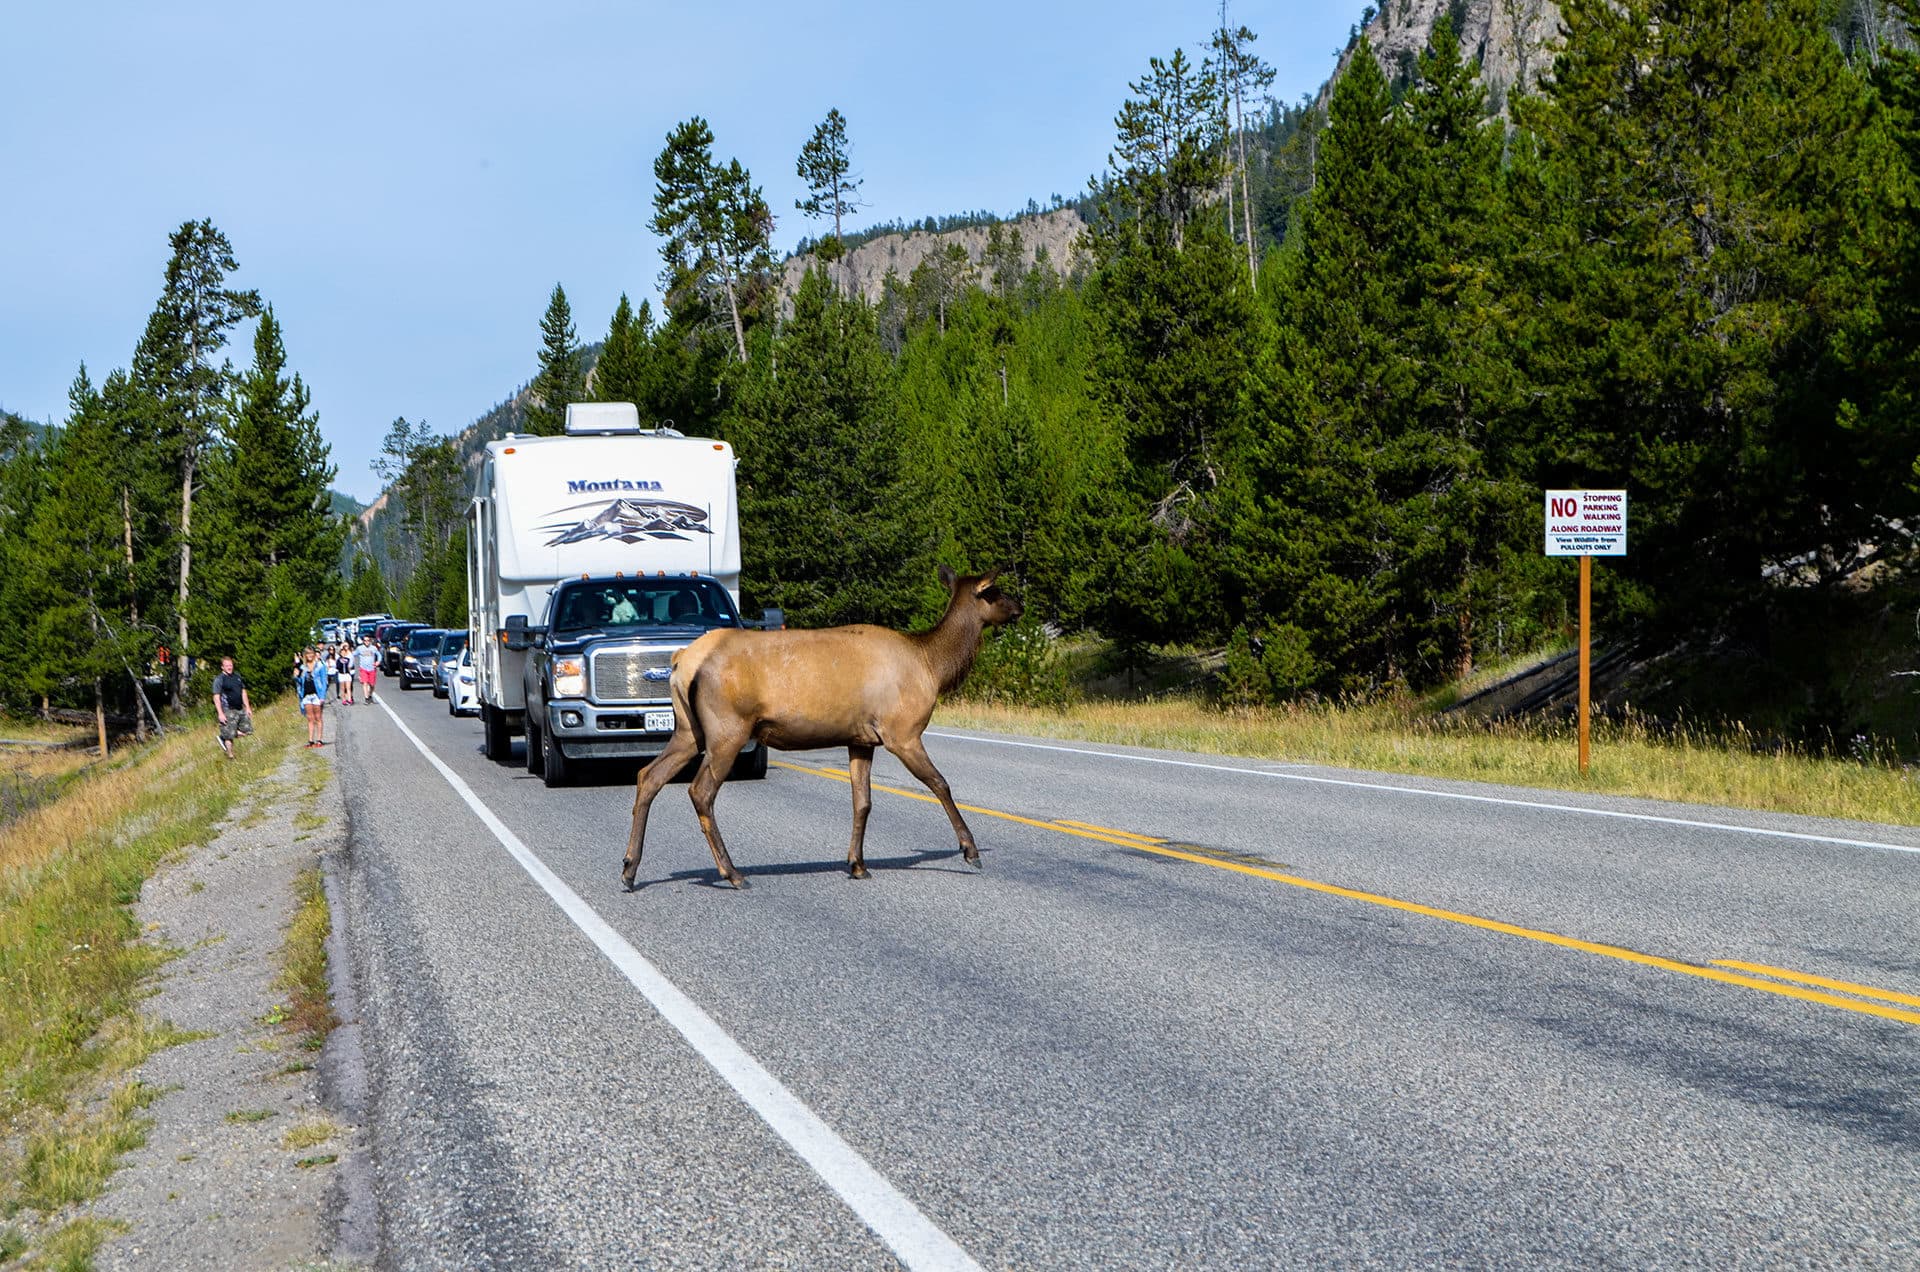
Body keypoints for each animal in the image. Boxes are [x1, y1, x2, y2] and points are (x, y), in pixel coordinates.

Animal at [623, 566, 1023, 890]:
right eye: (995, 590)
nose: (1019, 605)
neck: (932, 666)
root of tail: (681, 661)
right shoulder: (902, 731)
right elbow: (940, 784)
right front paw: (970, 850)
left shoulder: (862, 739)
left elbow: (862, 801)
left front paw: (857, 864)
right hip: (728, 727)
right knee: (700, 790)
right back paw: (732, 873)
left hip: (689, 730)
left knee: (649, 775)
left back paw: (629, 869)